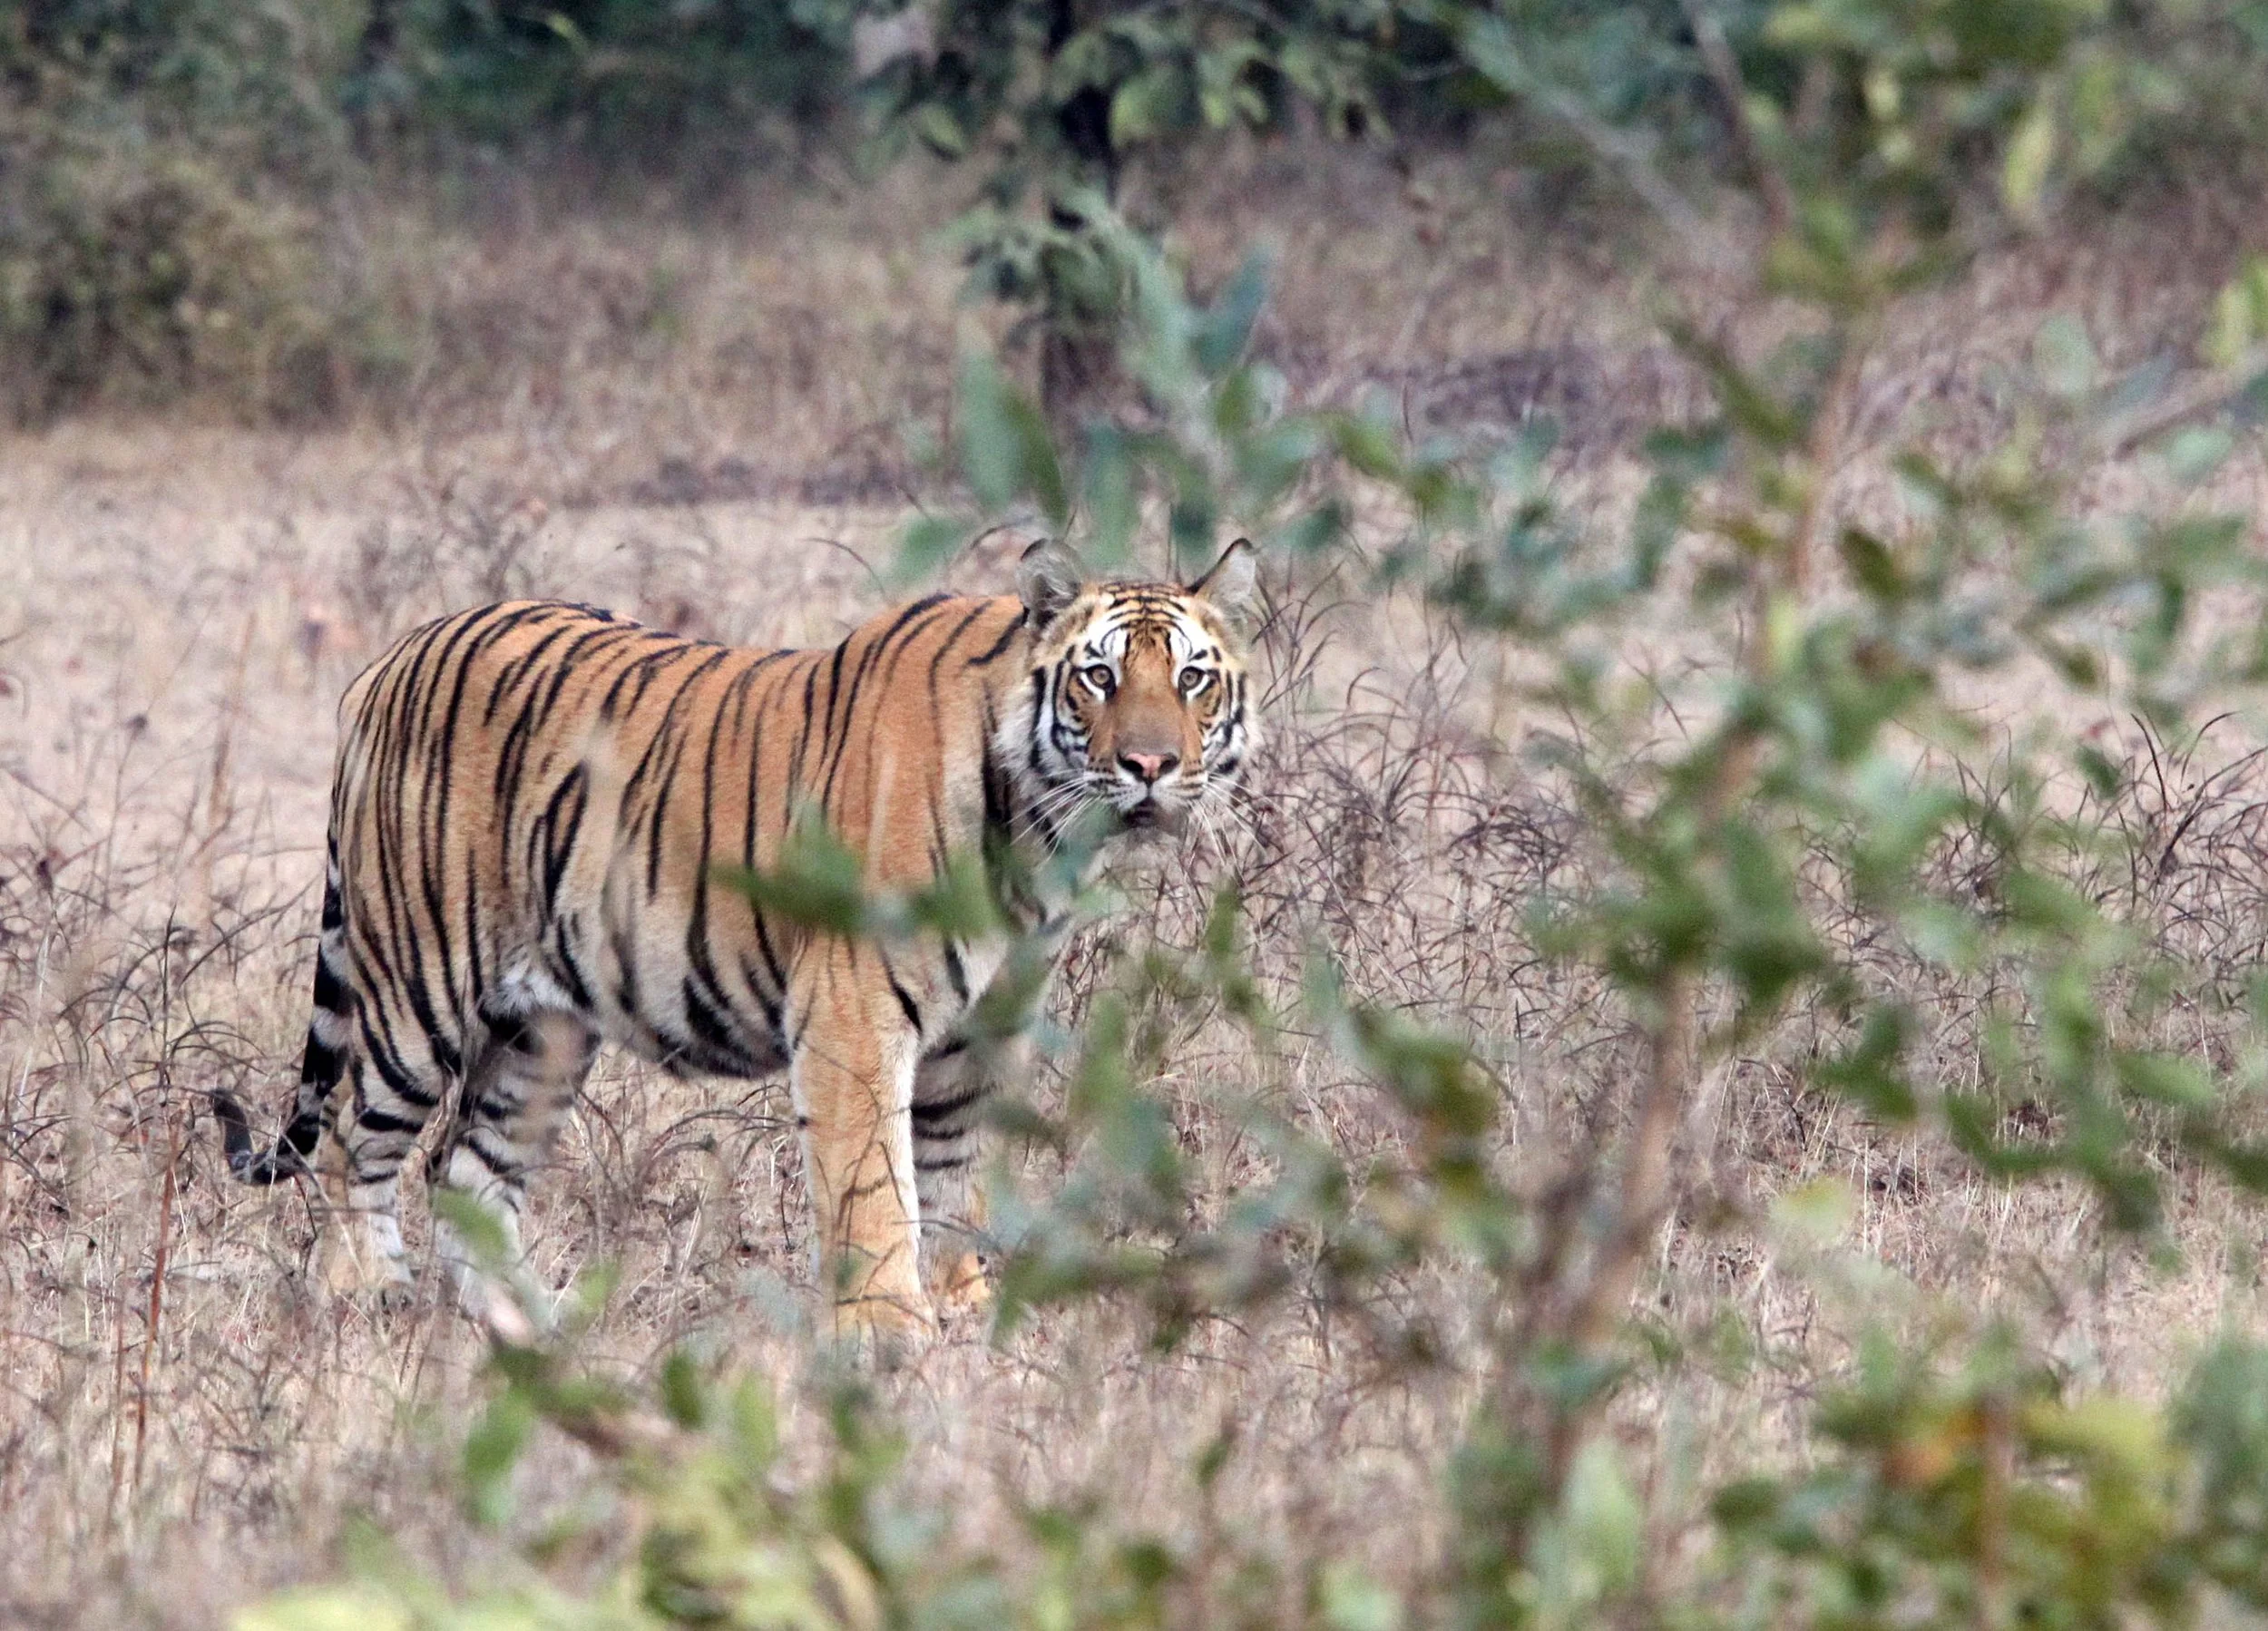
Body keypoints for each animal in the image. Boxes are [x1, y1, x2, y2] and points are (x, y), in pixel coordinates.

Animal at [212, 538, 1259, 1339]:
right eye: (1099, 676)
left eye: (1192, 678)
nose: (1152, 765)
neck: (1037, 833)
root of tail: (386, 662)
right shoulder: (853, 1013)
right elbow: (875, 1188)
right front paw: (892, 1332)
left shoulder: (980, 1034)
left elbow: (951, 1180)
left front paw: (962, 1313)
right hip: (417, 992)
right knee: (352, 1144)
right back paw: (369, 1300)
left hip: (540, 1031)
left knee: (467, 1173)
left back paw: (537, 1332)